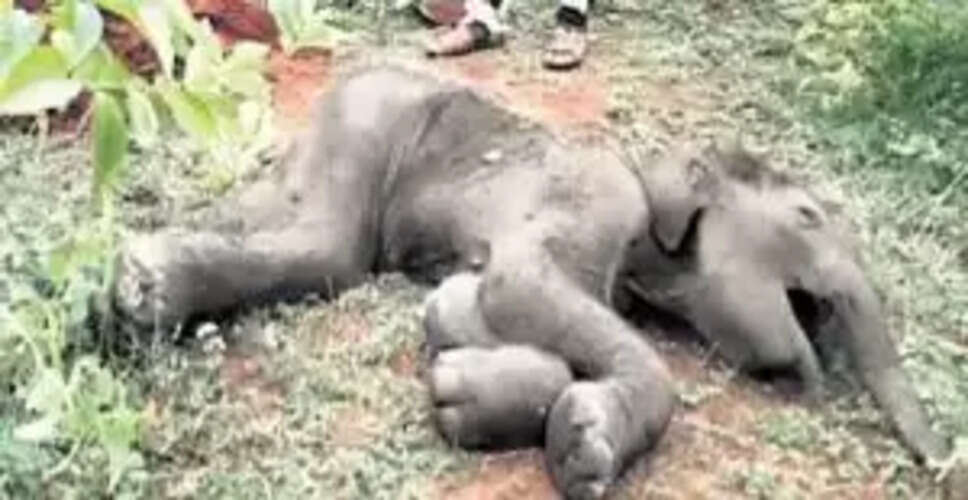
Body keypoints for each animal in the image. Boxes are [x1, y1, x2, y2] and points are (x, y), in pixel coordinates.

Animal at [110, 64, 953, 499]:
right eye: (808, 217)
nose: (947, 465)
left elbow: (466, 308)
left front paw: (469, 390)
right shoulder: (597, 201)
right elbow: (517, 286)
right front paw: (584, 452)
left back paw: (125, 299)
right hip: (369, 119)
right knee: (324, 244)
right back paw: (138, 293)